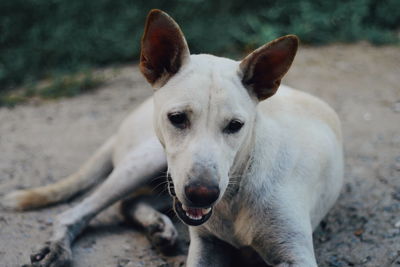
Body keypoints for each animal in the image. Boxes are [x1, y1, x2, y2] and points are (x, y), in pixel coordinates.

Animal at [1, 8, 342, 267]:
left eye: (235, 125)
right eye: (177, 118)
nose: (203, 194)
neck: (236, 190)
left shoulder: (296, 255)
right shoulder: (205, 246)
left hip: (167, 184)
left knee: (128, 203)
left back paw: (157, 226)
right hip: (147, 163)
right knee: (75, 212)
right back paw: (58, 247)